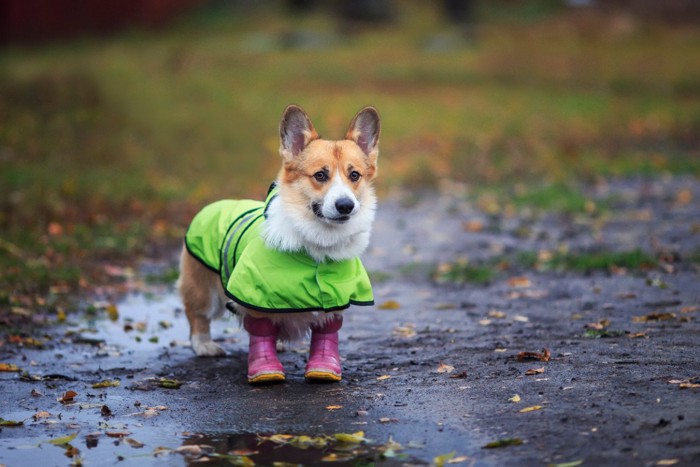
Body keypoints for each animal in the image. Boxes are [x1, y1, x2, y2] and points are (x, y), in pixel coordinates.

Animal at [178, 105, 380, 384]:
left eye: (354, 175)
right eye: (320, 175)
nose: (345, 205)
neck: (317, 243)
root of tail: (216, 204)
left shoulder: (334, 302)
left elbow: (326, 333)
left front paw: (324, 367)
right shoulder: (255, 296)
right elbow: (260, 330)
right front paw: (265, 368)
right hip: (204, 288)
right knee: (196, 314)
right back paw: (204, 345)